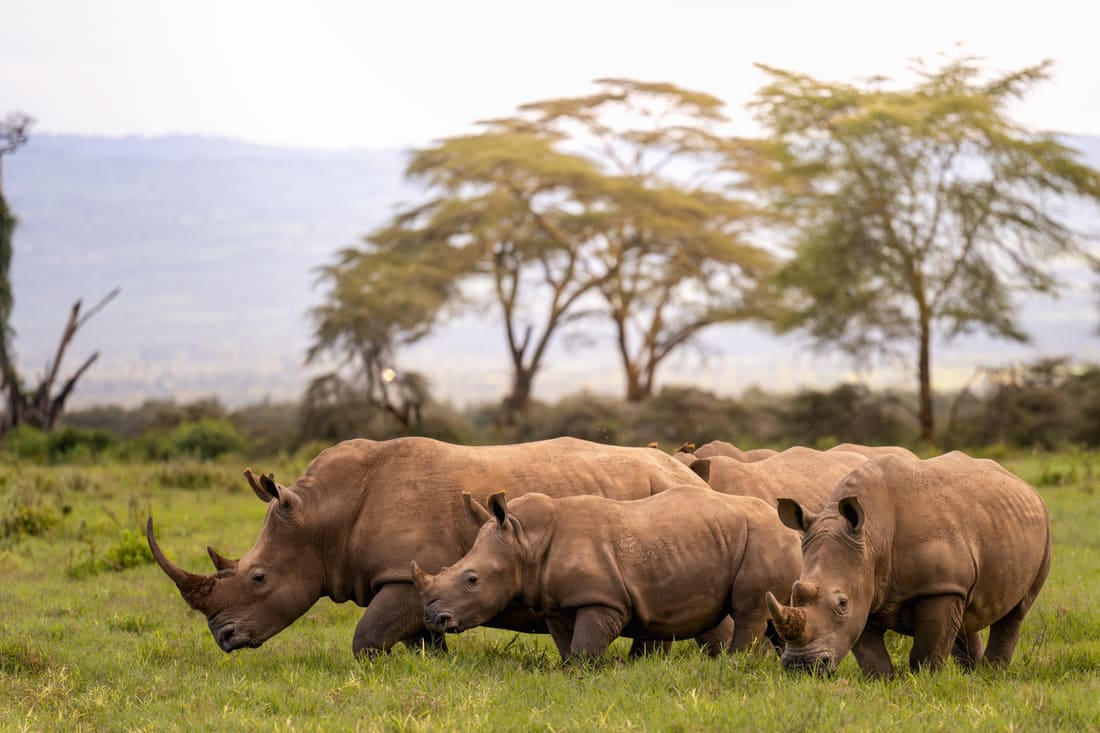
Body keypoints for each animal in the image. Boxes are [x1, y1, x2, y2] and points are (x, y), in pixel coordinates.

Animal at [145, 436, 709, 657]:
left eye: (258, 577)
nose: (223, 638)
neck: (323, 519)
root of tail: (691, 473)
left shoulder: (403, 573)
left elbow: (368, 635)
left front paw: (378, 666)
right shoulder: (424, 581)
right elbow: (421, 635)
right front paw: (431, 665)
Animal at [411, 486, 802, 663]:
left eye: (472, 580)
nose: (433, 619)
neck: (524, 543)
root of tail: (791, 531)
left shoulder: (603, 600)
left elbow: (586, 646)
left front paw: (587, 674)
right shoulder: (556, 602)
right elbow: (567, 644)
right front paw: (570, 672)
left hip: (763, 537)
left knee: (750, 609)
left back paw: (736, 663)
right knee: (772, 613)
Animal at [765, 451, 1051, 677]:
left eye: (842, 603)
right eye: (793, 594)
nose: (801, 666)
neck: (872, 538)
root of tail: (1021, 482)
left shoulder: (938, 587)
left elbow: (928, 648)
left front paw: (924, 680)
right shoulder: (866, 586)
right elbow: (870, 653)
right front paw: (881, 681)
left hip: (1044, 530)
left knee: (1016, 611)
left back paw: (992, 674)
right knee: (966, 610)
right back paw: (973, 673)